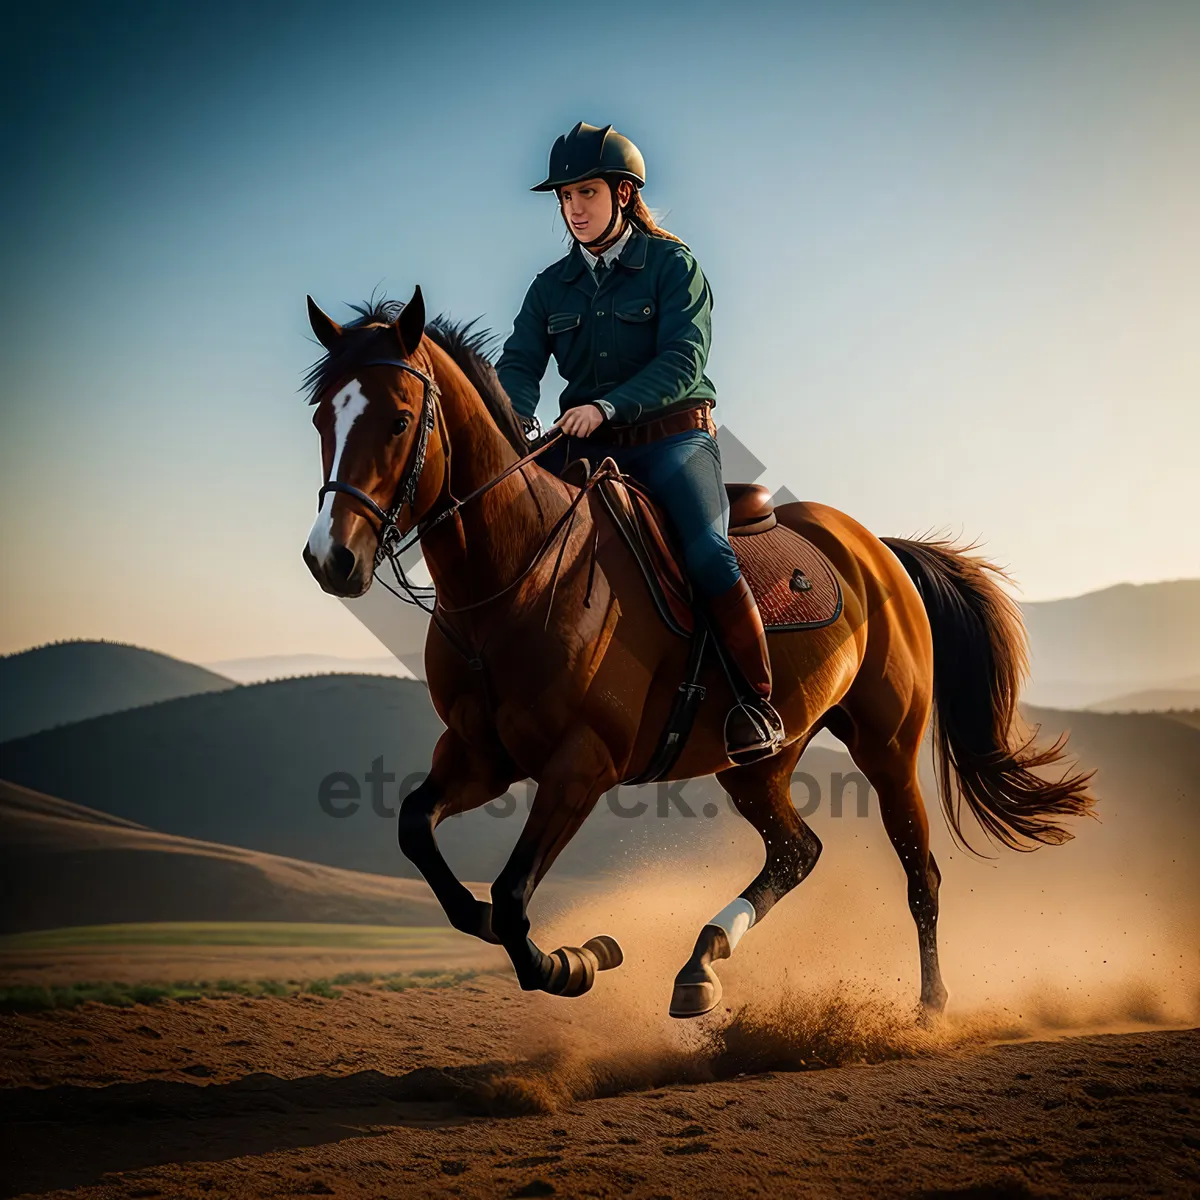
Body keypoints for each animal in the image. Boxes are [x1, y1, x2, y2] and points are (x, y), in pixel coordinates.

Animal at [300, 285, 1099, 1017]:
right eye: (320, 418)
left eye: (400, 420)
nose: (330, 558)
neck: (521, 577)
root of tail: (879, 550)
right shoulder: (480, 754)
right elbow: (428, 845)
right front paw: (565, 947)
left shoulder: (581, 765)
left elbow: (513, 891)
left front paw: (575, 963)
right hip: (758, 762)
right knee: (796, 851)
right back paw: (700, 965)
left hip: (887, 745)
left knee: (920, 874)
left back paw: (930, 1009)